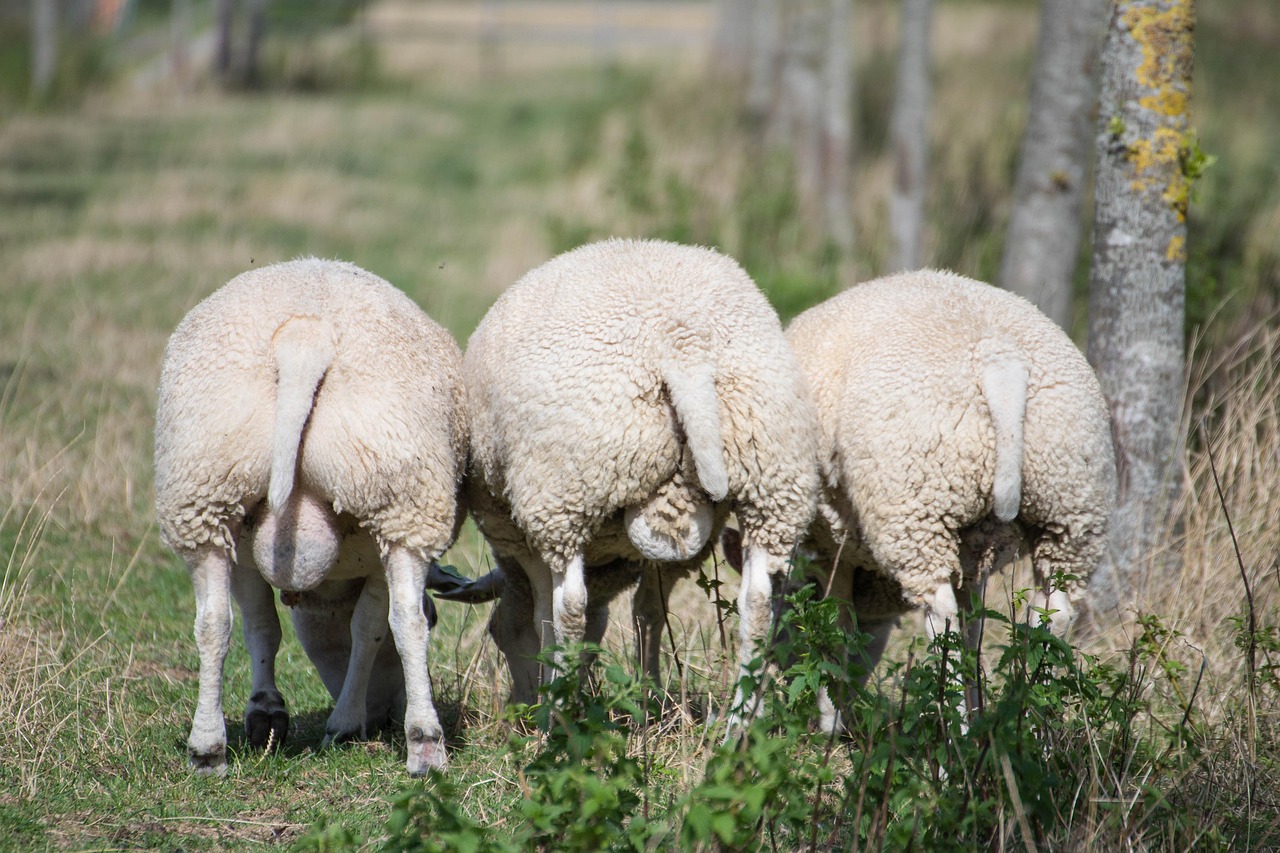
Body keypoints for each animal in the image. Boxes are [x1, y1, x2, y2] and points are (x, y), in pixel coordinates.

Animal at [154, 256, 465, 773]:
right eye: (440, 615)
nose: (385, 715)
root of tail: (303, 336)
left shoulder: (244, 546)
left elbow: (259, 626)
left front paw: (266, 714)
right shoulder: (372, 554)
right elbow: (371, 630)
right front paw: (345, 723)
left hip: (206, 493)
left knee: (212, 622)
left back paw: (207, 749)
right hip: (401, 501)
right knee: (405, 621)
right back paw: (424, 742)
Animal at [458, 236, 819, 712]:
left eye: (497, 635)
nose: (521, 706)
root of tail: (681, 344)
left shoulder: (519, 534)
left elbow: (546, 618)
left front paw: (551, 698)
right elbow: (648, 611)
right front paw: (649, 700)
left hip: (565, 490)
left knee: (570, 608)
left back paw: (561, 718)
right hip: (773, 477)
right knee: (758, 605)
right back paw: (738, 724)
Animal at [773, 270, 1116, 722]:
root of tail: (1000, 361)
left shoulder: (833, 552)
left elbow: (836, 629)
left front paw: (829, 719)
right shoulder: (971, 561)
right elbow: (974, 623)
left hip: (915, 507)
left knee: (942, 619)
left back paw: (956, 728)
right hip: (1072, 507)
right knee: (1051, 616)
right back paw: (1029, 725)